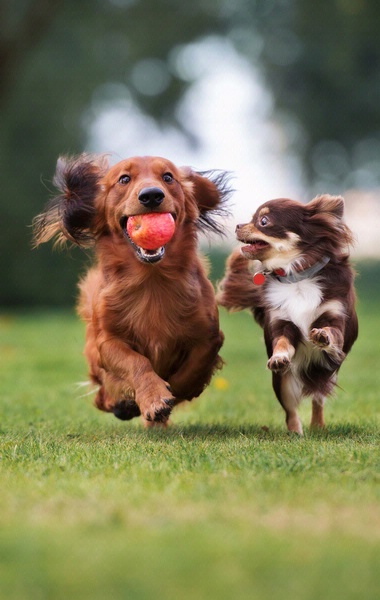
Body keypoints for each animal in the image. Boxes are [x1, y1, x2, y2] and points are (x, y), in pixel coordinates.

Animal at [34, 155, 230, 426]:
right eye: (124, 179)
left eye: (168, 177)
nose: (151, 195)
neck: (151, 280)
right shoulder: (107, 342)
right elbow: (137, 362)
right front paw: (153, 397)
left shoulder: (209, 336)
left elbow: (191, 370)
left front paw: (170, 394)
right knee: (102, 396)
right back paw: (122, 404)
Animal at [218, 195, 358, 434]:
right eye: (252, 218)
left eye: (263, 221)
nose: (237, 225)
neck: (296, 277)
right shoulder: (281, 323)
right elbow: (282, 342)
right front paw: (279, 357)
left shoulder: (335, 317)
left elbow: (331, 332)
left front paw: (322, 335)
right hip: (282, 383)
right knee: (291, 411)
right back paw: (295, 433)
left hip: (327, 373)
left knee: (318, 398)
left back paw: (318, 426)